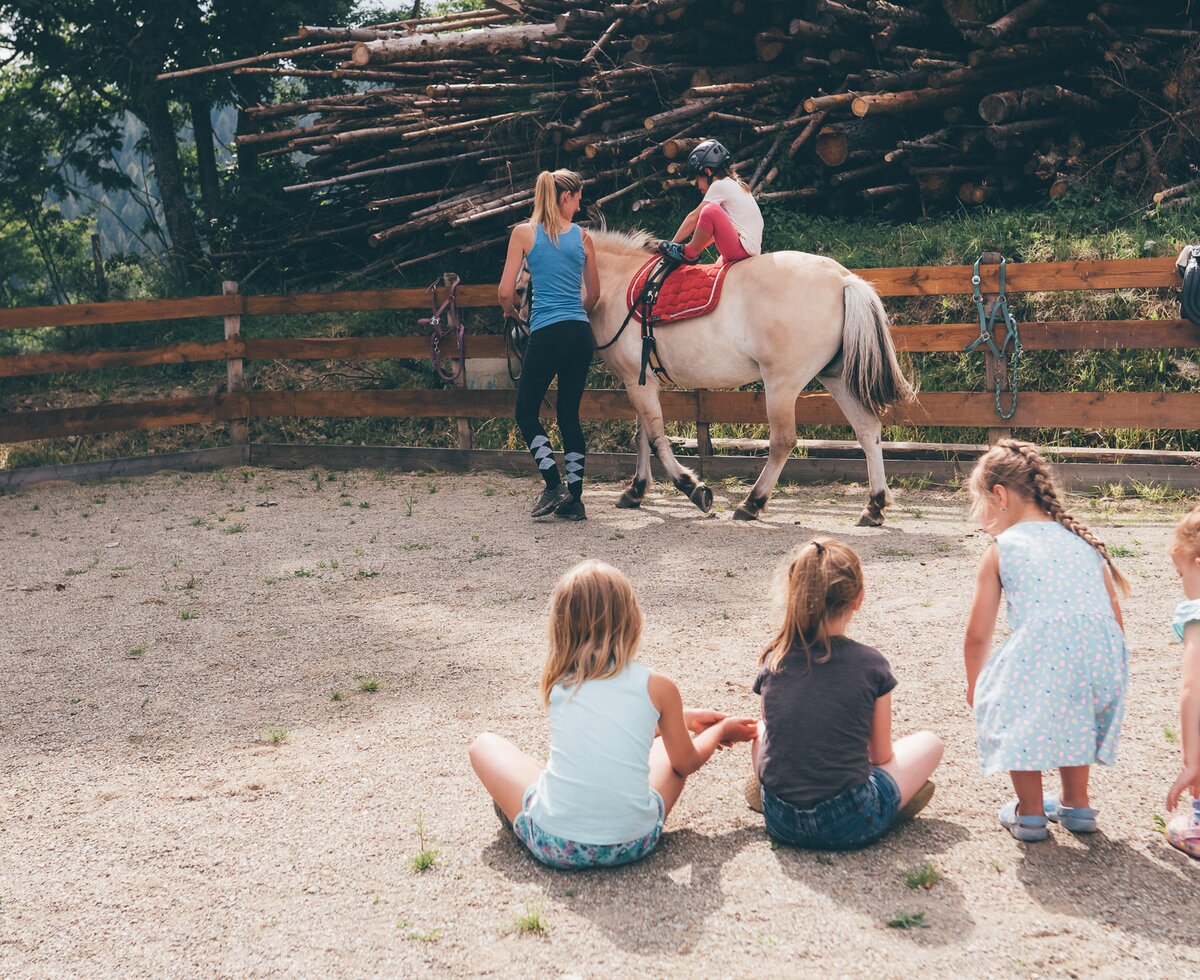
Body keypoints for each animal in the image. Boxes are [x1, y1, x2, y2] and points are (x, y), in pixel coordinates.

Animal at [580, 226, 907, 522]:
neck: (619, 284)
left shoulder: (639, 384)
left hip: (781, 384)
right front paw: (636, 490)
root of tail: (842, 278)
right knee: (867, 430)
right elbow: (641, 437)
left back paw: (753, 502)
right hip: (836, 378)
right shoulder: (639, 380)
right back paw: (874, 505)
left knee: (783, 441)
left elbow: (656, 439)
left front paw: (692, 487)